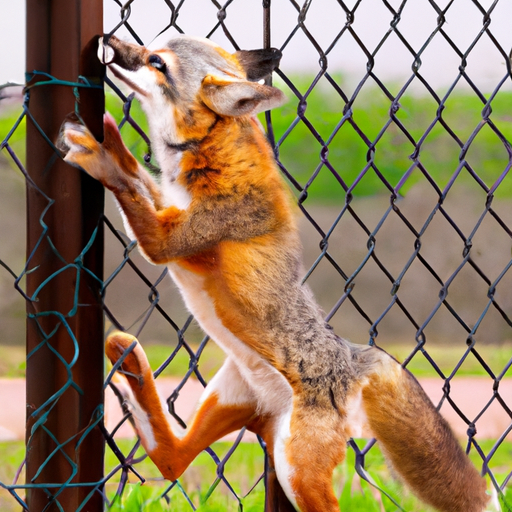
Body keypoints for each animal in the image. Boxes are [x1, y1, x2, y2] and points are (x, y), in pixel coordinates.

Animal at [57, 34, 492, 510]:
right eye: (150, 46)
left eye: (157, 61)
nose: (108, 41)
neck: (206, 155)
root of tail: (354, 356)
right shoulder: (168, 208)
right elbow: (140, 178)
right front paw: (113, 147)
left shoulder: (166, 241)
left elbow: (129, 185)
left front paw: (103, 155)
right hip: (229, 399)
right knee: (172, 460)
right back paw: (130, 364)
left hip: (296, 471)